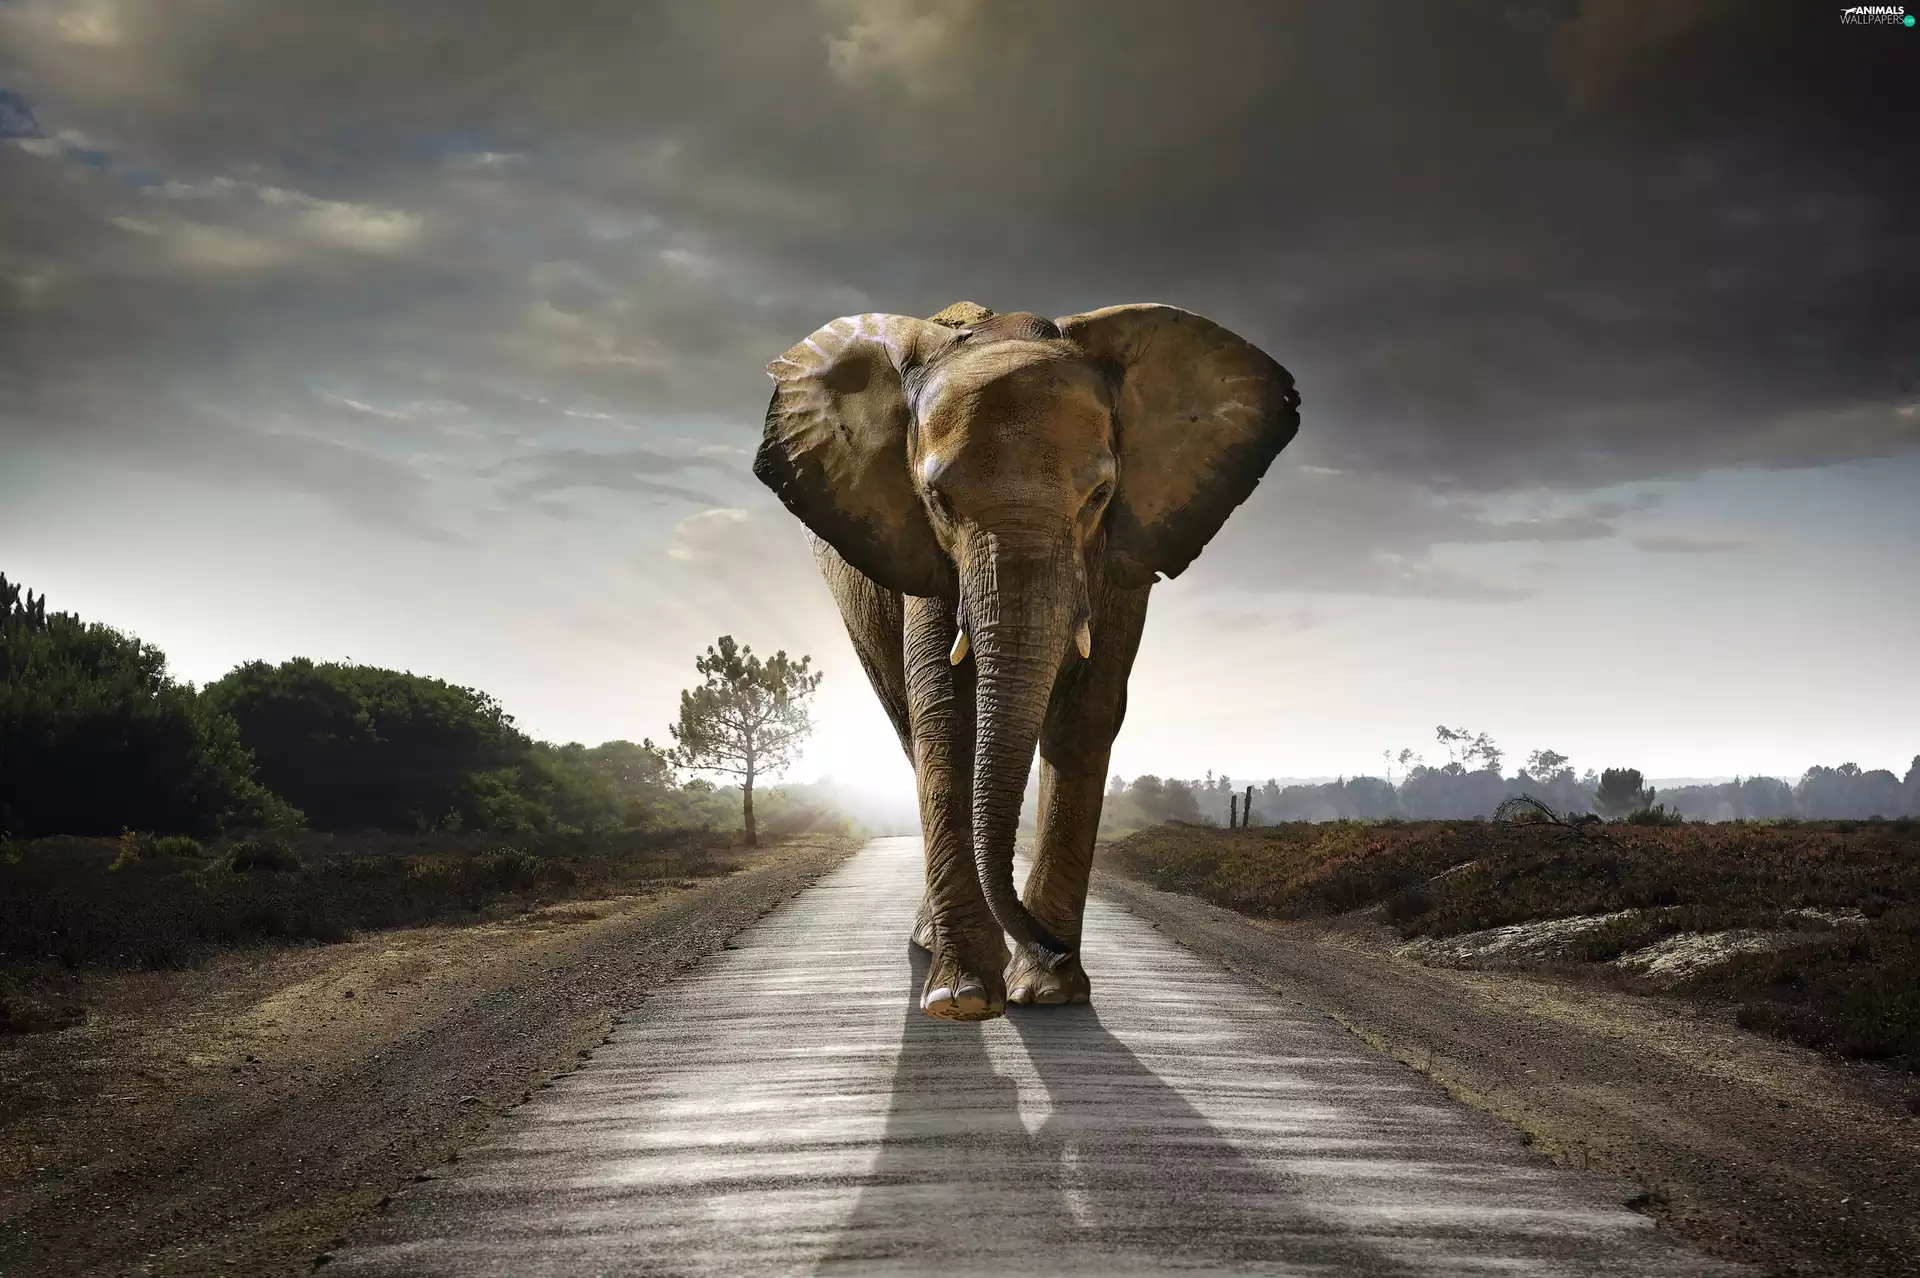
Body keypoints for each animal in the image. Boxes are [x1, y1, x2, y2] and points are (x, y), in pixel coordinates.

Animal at [754, 300, 1300, 1021]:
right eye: (938, 500)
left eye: (1100, 496)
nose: (1052, 946)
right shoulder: (922, 556)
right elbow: (945, 712)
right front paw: (963, 998)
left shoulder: (1122, 556)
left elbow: (1087, 713)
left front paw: (1048, 991)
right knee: (907, 724)